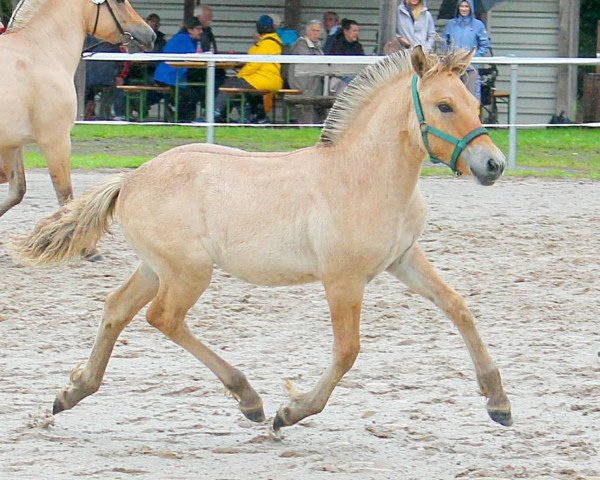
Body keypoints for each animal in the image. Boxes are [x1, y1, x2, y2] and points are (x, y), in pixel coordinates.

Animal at [0, 0, 155, 216]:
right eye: (119, 1)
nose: (150, 35)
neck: (40, 52)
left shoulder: (12, 144)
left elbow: (16, 192)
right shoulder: (56, 142)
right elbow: (66, 200)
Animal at [11, 47, 512, 432]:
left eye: (473, 101)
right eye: (444, 106)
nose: (494, 165)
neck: (365, 177)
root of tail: (129, 180)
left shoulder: (402, 258)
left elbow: (458, 307)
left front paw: (498, 402)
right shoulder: (343, 279)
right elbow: (347, 351)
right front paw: (291, 412)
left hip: (157, 267)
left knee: (117, 308)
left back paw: (72, 391)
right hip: (189, 271)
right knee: (163, 318)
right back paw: (249, 399)